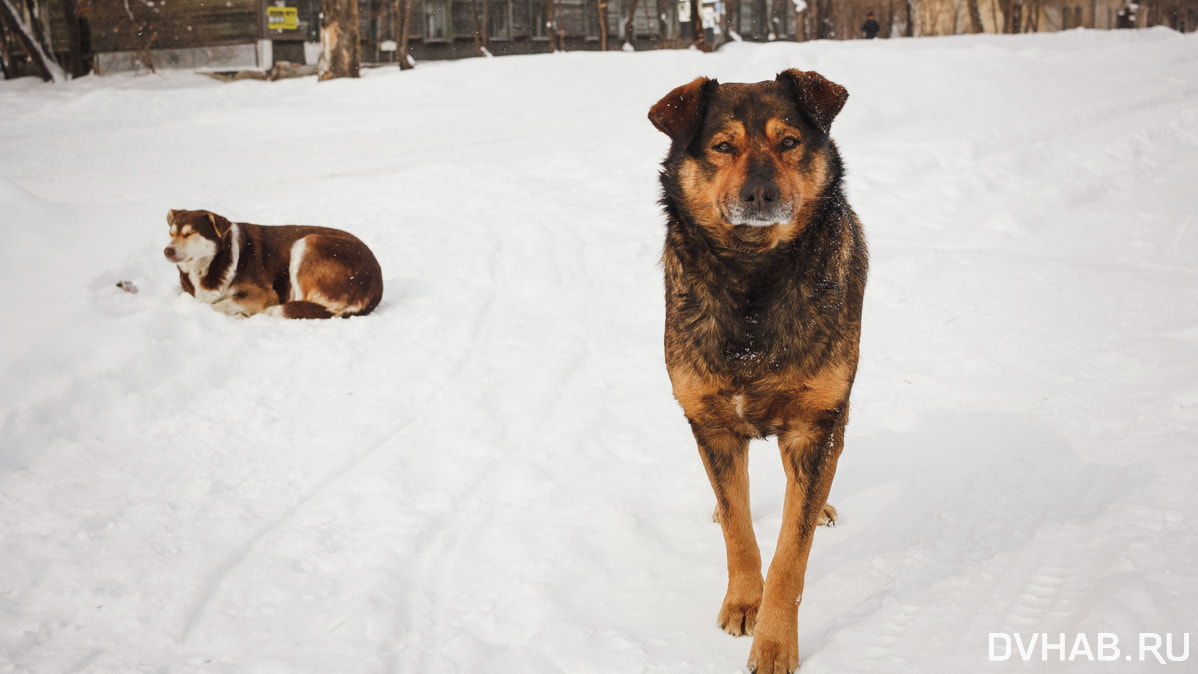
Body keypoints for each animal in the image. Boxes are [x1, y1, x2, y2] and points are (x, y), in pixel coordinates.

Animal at [164, 208, 383, 318]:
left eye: (189, 233)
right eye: (171, 233)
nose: (167, 250)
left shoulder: (264, 294)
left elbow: (216, 305)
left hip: (306, 243)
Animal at [651, 71, 867, 670]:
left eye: (788, 142)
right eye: (723, 147)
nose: (760, 195)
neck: (753, 275)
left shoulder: (816, 422)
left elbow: (792, 552)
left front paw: (774, 642)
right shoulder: (710, 422)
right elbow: (740, 528)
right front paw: (744, 602)